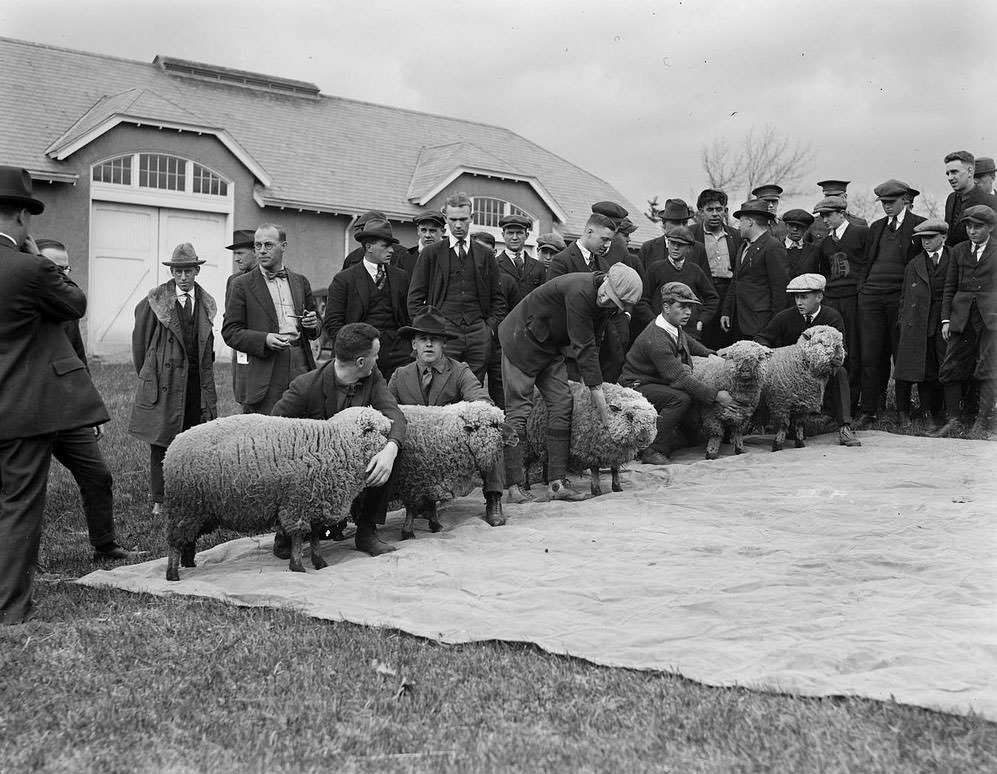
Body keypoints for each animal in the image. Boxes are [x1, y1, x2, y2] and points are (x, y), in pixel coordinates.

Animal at [163, 406, 390, 584]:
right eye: (378, 430)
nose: (391, 428)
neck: (337, 444)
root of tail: (172, 446)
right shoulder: (297, 504)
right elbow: (299, 537)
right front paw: (298, 567)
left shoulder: (317, 503)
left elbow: (315, 538)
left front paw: (320, 563)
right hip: (185, 505)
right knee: (175, 541)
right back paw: (173, 573)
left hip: (200, 510)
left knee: (188, 538)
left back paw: (189, 562)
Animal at [524, 382, 656, 498]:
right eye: (629, 416)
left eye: (653, 421)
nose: (643, 439)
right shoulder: (590, 450)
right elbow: (595, 471)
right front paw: (596, 491)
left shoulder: (615, 454)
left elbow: (615, 470)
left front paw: (617, 488)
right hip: (528, 443)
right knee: (525, 464)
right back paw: (526, 487)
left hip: (543, 442)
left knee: (547, 459)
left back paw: (547, 481)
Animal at [760, 324, 844, 452]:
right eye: (820, 342)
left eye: (840, 343)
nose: (839, 357)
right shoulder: (781, 402)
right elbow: (783, 424)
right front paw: (777, 445)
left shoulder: (803, 402)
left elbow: (799, 424)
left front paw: (800, 443)